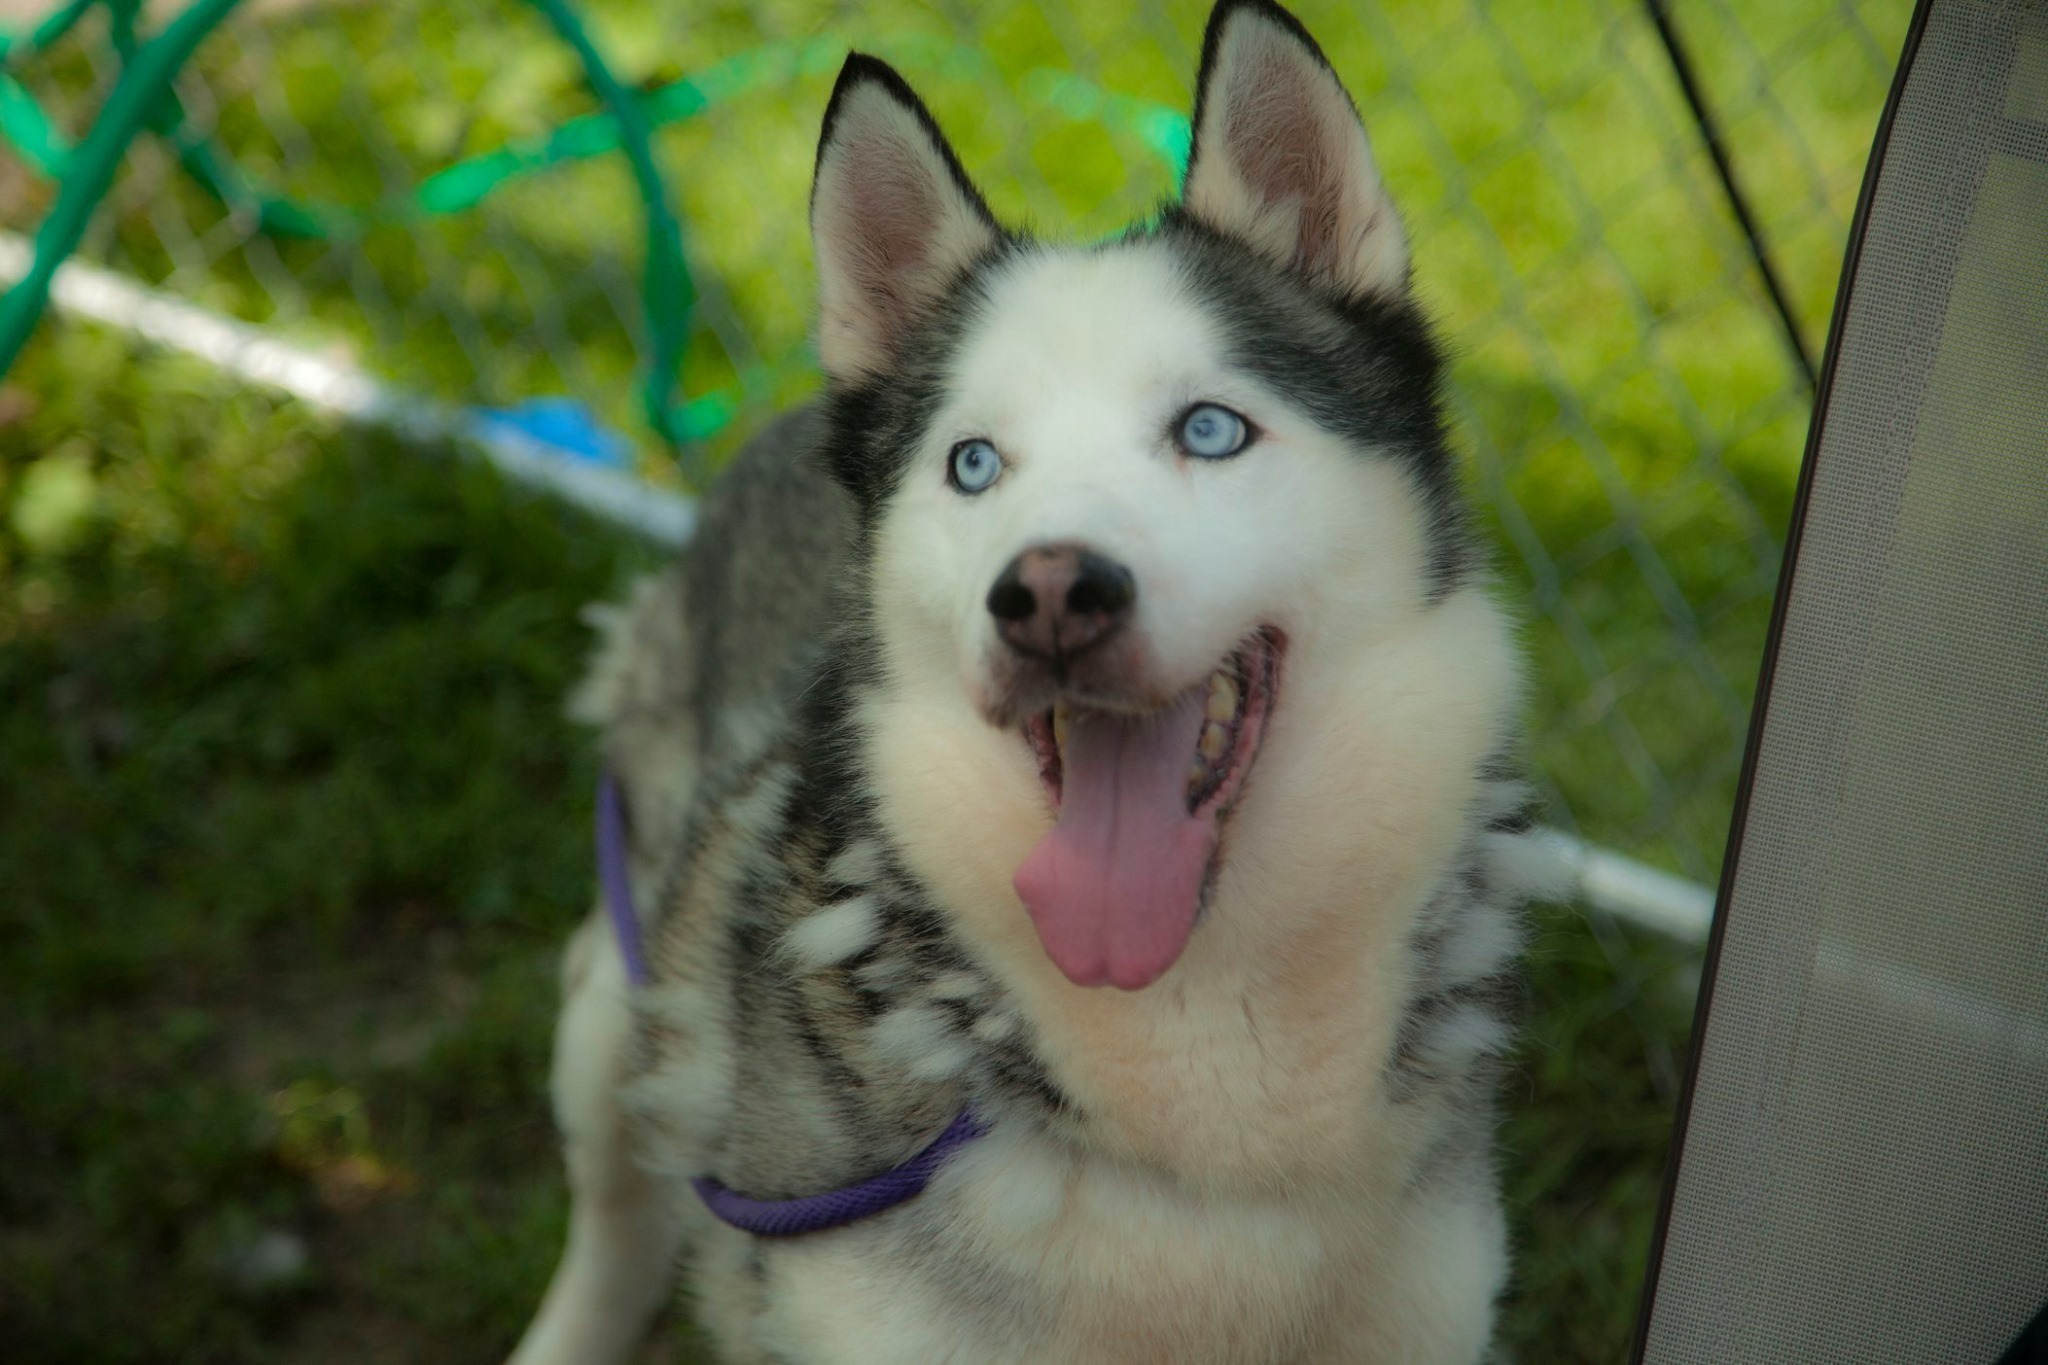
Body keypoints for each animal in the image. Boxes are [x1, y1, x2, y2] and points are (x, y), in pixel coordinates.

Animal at [507, 5, 1540, 1358]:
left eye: (1209, 430)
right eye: (973, 463)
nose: (1047, 594)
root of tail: (776, 424)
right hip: (619, 987)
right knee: (622, 1201)